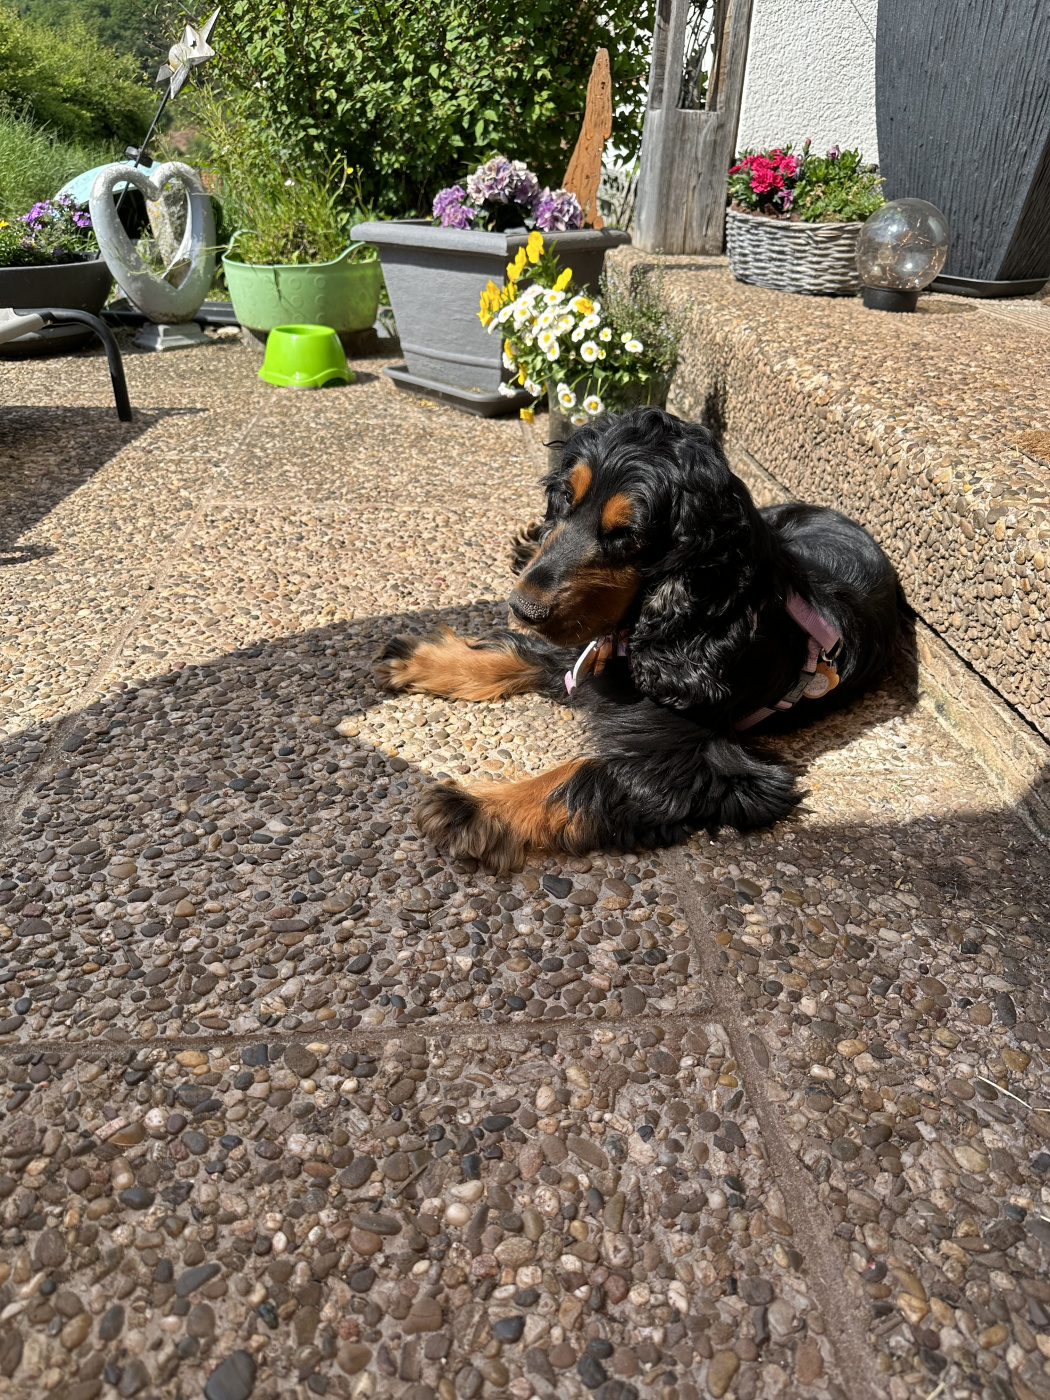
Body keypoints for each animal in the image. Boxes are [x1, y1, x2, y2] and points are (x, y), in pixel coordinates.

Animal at [374, 407, 902, 871]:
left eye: (626, 533)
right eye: (565, 498)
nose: (522, 607)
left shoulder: (707, 768)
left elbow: (586, 774)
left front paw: (475, 806)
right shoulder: (587, 642)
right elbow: (522, 653)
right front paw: (424, 659)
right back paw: (524, 544)